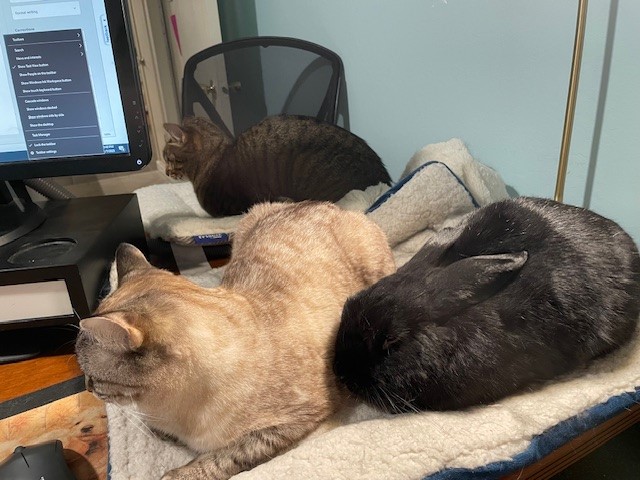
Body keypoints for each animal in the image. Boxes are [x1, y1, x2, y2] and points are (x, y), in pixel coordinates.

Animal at [75, 201, 396, 480]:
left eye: (92, 376)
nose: (87, 387)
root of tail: (326, 204)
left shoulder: (290, 423)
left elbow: (225, 456)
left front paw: (178, 474)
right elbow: (157, 428)